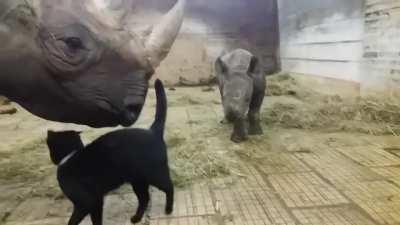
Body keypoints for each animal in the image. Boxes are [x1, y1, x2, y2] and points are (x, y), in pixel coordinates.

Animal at [46, 79, 173, 225]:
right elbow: (96, 218)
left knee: (169, 186)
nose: (52, 158)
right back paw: (136, 218)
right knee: (145, 198)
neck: (71, 154)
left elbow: (75, 220)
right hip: (138, 180)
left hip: (154, 174)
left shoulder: (87, 202)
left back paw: (168, 209)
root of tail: (153, 131)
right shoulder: (96, 201)